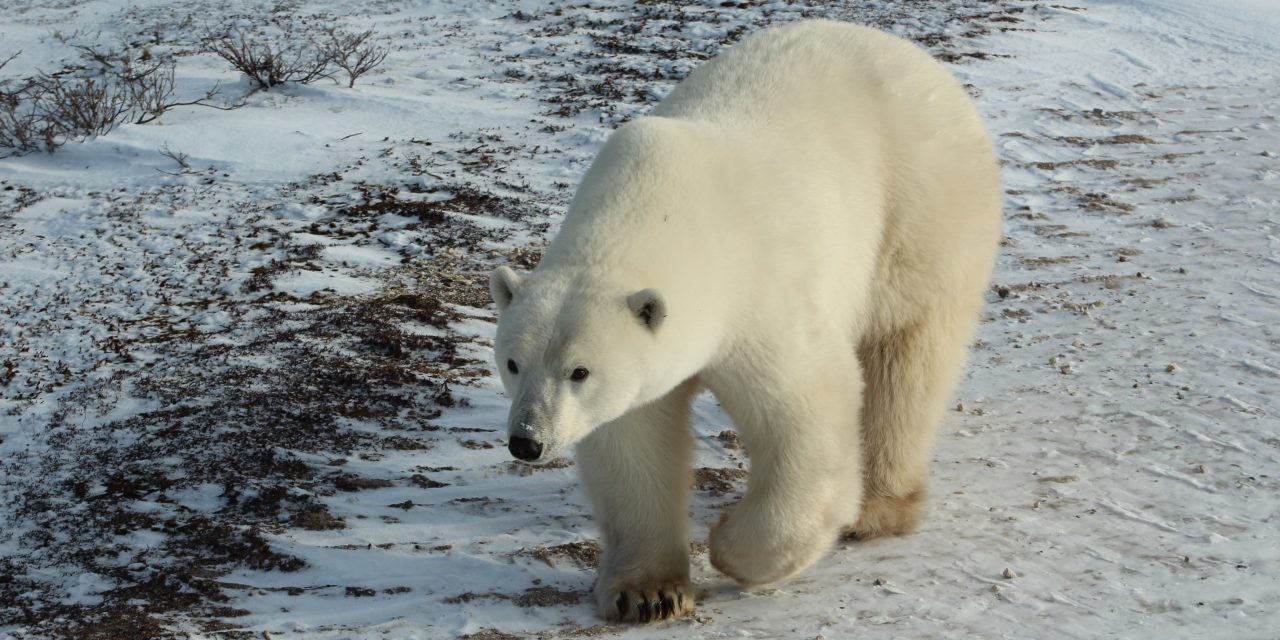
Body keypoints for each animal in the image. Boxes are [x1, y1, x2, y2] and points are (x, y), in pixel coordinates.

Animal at [488, 20, 1001, 623]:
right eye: (513, 363)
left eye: (579, 371)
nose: (527, 441)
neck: (663, 212)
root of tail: (917, 59)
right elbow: (634, 441)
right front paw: (648, 592)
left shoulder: (759, 295)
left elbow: (806, 409)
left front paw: (731, 545)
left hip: (921, 210)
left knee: (905, 354)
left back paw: (877, 508)